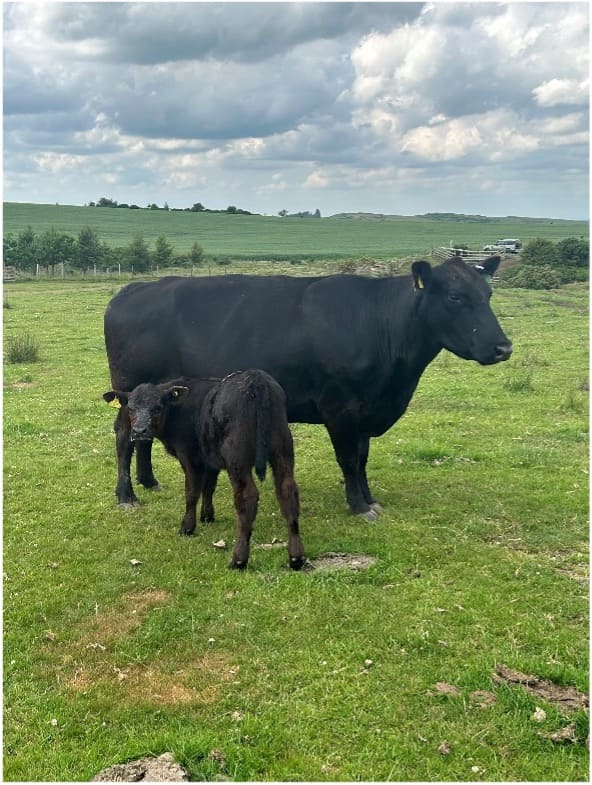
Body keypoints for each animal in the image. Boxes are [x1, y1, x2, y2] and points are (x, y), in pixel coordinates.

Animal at [103, 370, 306, 570]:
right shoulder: (210, 460)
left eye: (157, 407)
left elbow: (192, 492)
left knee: (247, 497)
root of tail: (256, 379)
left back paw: (238, 559)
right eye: (131, 409)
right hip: (282, 450)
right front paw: (207, 516)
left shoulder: (191, 457)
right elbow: (208, 488)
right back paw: (296, 557)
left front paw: (187, 527)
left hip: (237, 459)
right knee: (287, 491)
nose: (139, 430)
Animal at [104, 255, 512, 520]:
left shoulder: (365, 412)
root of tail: (133, 289)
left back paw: (149, 481)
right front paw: (359, 506)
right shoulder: (340, 408)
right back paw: (126, 495)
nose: (503, 347)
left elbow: (362, 458)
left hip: (156, 393)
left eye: (488, 295)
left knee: (145, 435)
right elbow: (349, 459)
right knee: (125, 435)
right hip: (128, 392)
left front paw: (369, 499)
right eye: (455, 297)